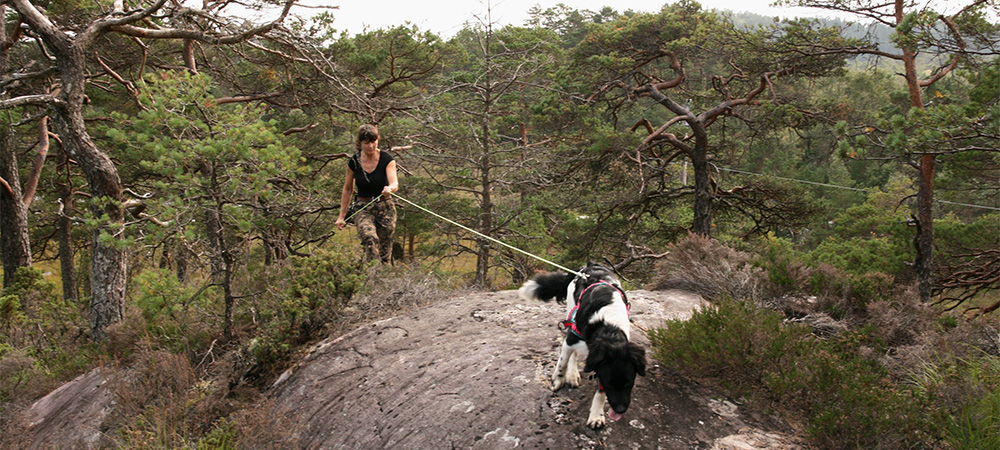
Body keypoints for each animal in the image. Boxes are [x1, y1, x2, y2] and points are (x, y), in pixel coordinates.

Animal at [516, 264, 648, 428]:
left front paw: (596, 415)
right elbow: (563, 363)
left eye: (629, 383)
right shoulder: (572, 339)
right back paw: (572, 374)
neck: (608, 328)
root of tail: (589, 265)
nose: (620, 410)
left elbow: (600, 392)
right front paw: (558, 379)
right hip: (570, 311)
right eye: (609, 384)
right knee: (572, 354)